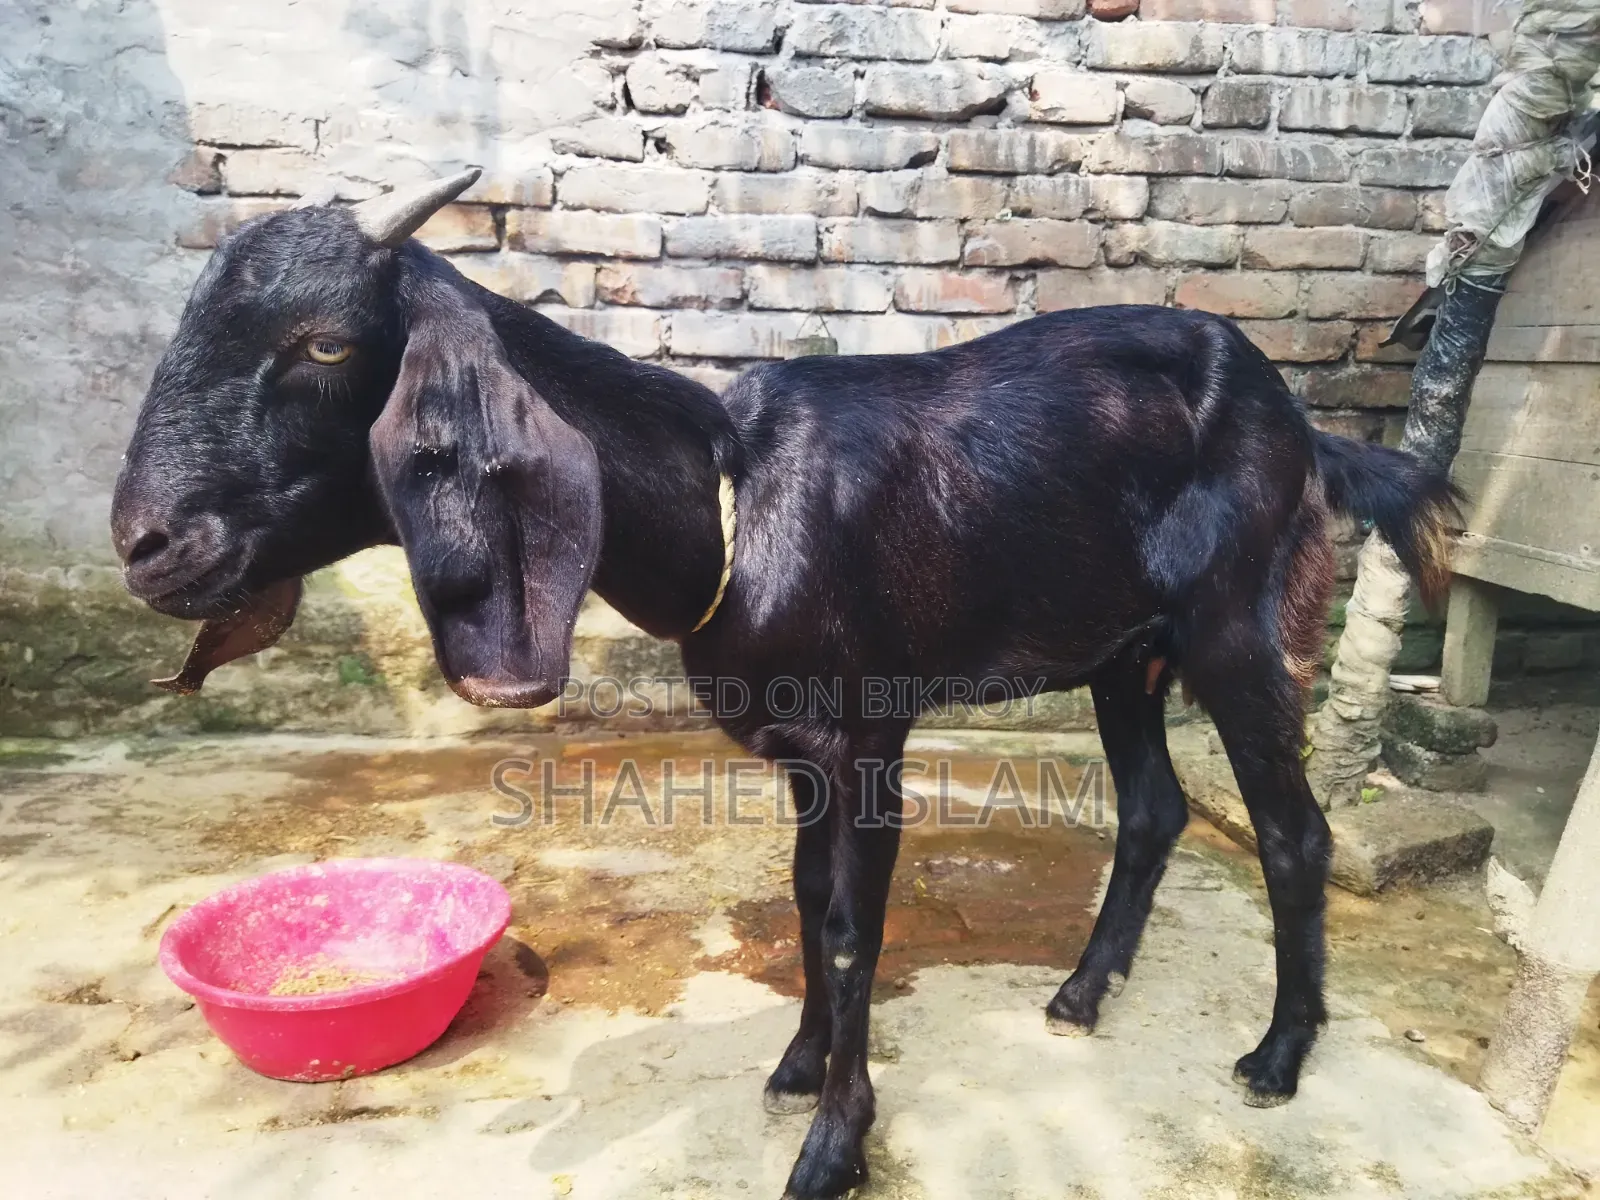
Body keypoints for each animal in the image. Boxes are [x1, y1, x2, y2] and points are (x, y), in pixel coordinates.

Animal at [112, 172, 1457, 1199]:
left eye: (325, 344)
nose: (146, 543)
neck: (731, 500)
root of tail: (1298, 418)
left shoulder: (868, 739)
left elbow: (856, 930)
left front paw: (832, 1148)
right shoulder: (801, 750)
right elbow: (807, 902)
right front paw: (800, 1065)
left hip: (1234, 627)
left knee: (1290, 830)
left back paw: (1277, 1054)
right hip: (1123, 651)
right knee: (1153, 807)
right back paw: (1079, 995)